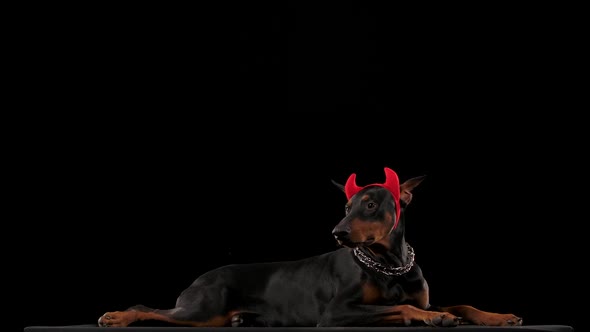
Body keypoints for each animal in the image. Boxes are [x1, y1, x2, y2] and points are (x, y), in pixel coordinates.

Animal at [99, 169, 524, 326]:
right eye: (346, 206)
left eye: (371, 204)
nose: (337, 232)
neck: (390, 264)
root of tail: (198, 279)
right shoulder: (336, 312)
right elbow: (400, 307)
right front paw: (432, 319)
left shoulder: (419, 295)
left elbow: (459, 303)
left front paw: (499, 316)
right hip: (202, 308)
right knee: (147, 308)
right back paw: (116, 317)